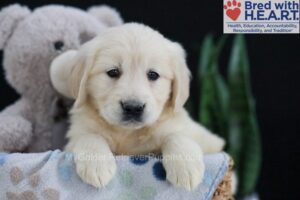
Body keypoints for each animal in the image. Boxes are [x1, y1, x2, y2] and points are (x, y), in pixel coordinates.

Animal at [49, 23, 223, 191]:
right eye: (113, 72)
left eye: (153, 75)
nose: (133, 107)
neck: (127, 133)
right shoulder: (76, 135)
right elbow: (90, 136)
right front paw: (97, 166)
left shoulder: (183, 128)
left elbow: (177, 135)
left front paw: (186, 169)